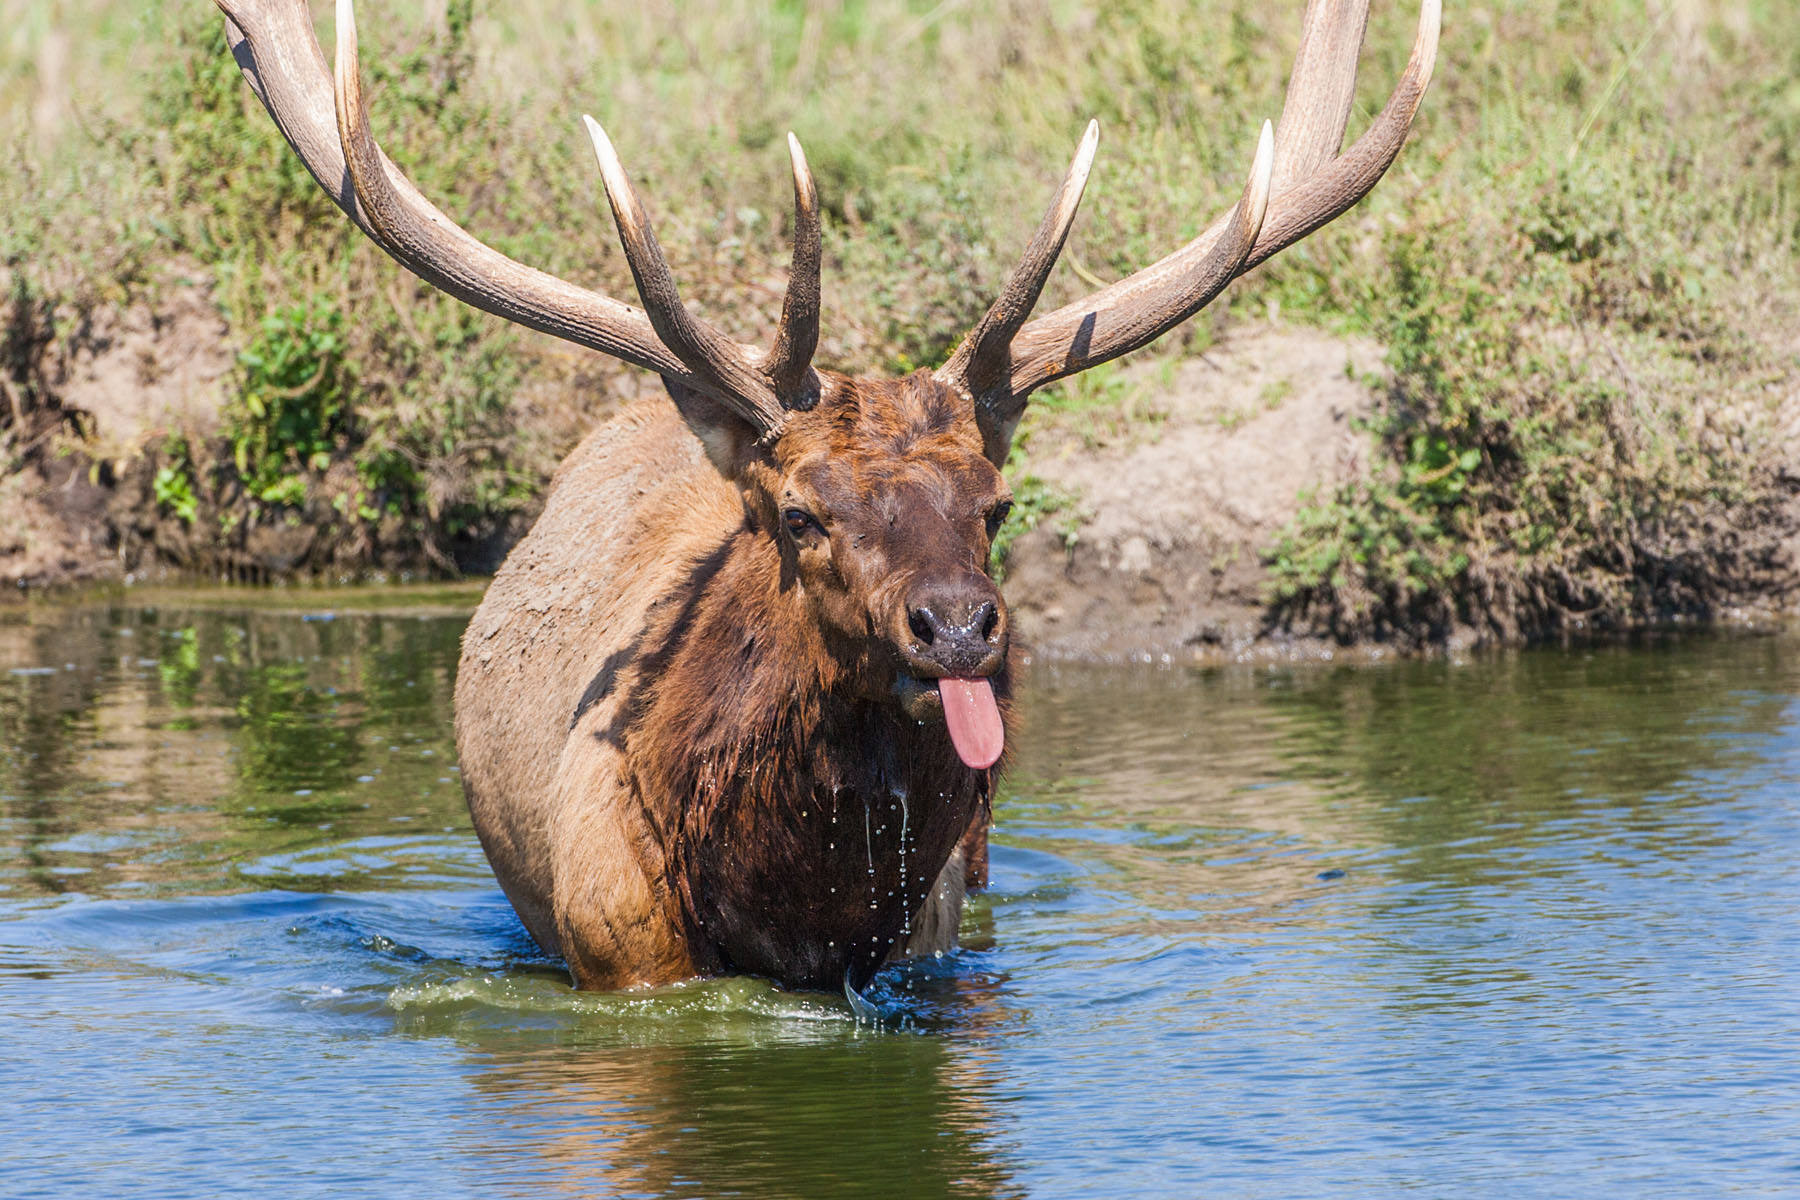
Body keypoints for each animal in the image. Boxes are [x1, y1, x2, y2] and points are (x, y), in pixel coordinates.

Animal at [217, 0, 1440, 993]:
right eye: (800, 513)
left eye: (997, 504)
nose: (958, 626)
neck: (790, 903)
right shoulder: (618, 951)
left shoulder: (926, 937)